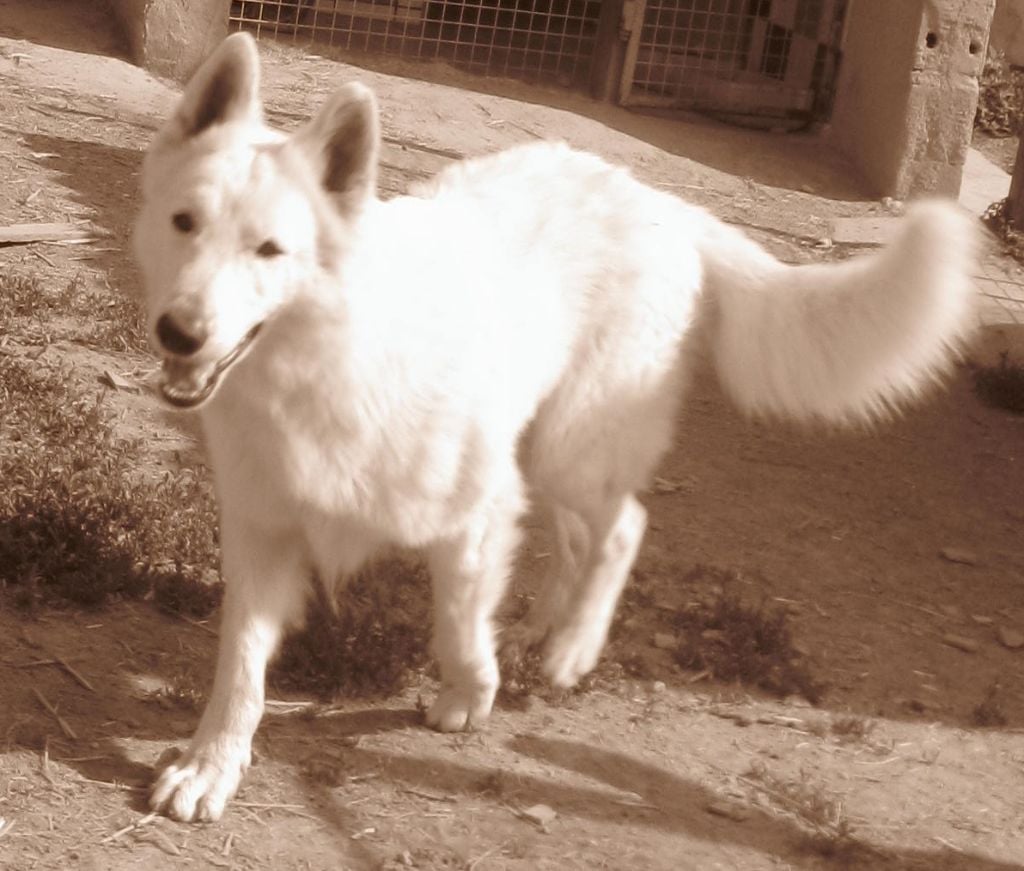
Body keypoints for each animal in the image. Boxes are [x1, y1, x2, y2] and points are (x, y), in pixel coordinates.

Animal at [134, 32, 974, 822]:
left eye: (270, 250)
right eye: (184, 224)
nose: (179, 332)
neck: (325, 358)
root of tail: (657, 202)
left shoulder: (474, 514)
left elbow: (457, 623)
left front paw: (470, 692)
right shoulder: (262, 535)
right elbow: (239, 668)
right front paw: (211, 764)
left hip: (569, 449)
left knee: (623, 527)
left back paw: (572, 646)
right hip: (547, 452)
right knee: (578, 539)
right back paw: (544, 627)